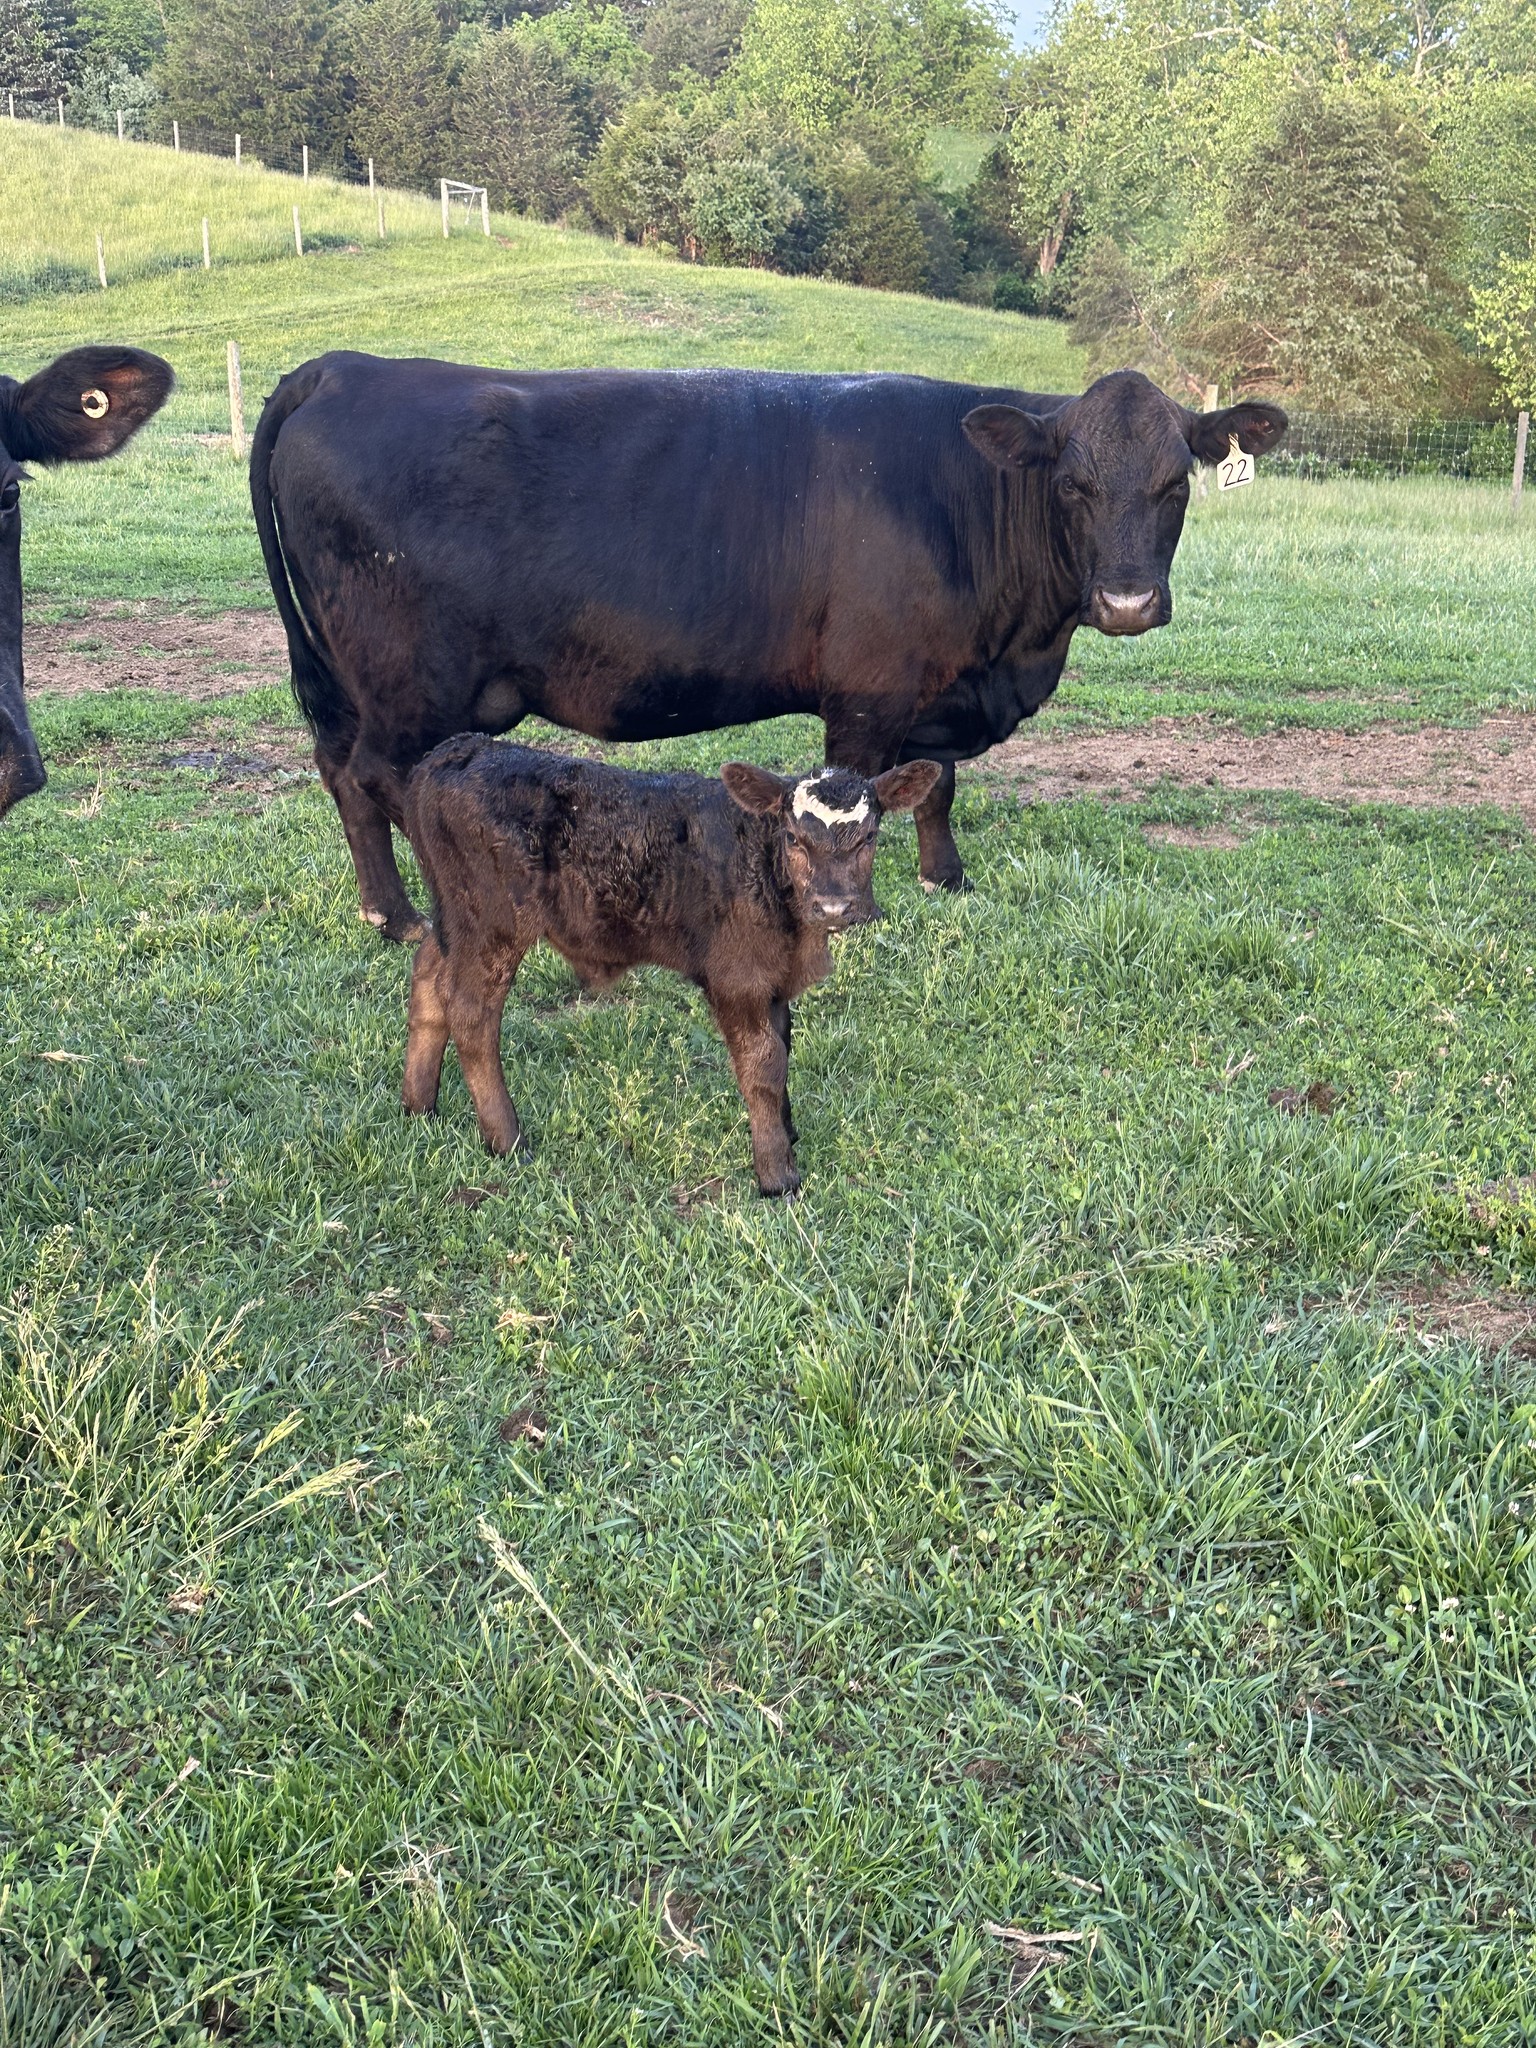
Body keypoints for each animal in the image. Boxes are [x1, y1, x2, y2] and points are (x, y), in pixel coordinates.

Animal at [251, 355, 1285, 939]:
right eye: (1072, 483)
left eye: (1176, 482)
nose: (1126, 601)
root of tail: (345, 367)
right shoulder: (868, 695)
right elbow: (858, 797)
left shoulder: (933, 687)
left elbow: (939, 786)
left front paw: (946, 878)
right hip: (405, 681)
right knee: (377, 778)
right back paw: (409, 913)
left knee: (340, 770)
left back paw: (384, 910)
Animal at [402, 736, 942, 1195]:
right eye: (793, 837)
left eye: (869, 837)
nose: (833, 907)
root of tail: (459, 750)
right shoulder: (738, 979)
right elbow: (764, 1064)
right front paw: (777, 1174)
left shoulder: (774, 981)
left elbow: (784, 1048)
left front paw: (787, 1135)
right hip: (493, 925)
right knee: (471, 1012)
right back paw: (507, 1141)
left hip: (453, 918)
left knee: (427, 974)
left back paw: (419, 1106)